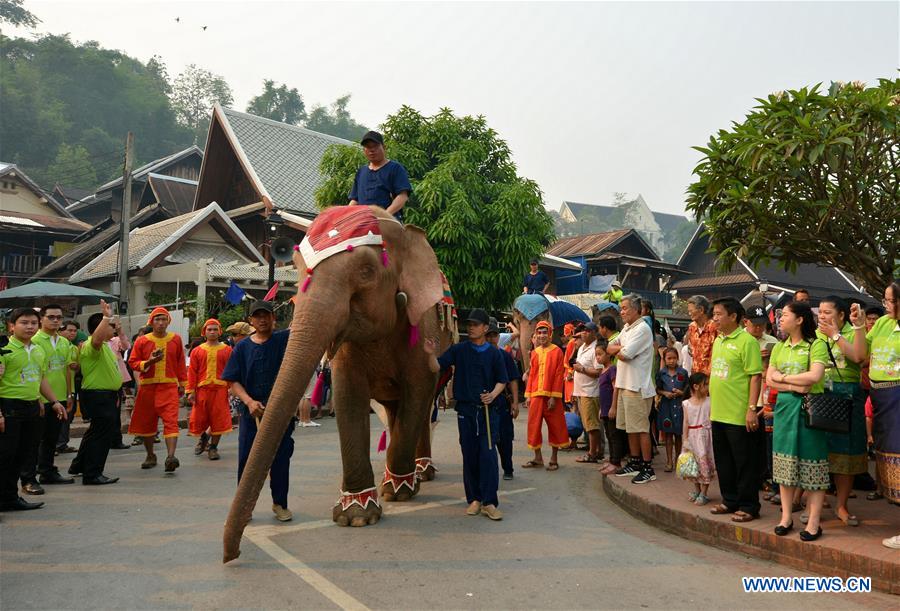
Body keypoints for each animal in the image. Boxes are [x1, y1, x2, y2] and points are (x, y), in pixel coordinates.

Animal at [221, 206, 454, 564]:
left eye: (366, 271)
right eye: (296, 268)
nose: (230, 556)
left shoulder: (420, 326)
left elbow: (419, 385)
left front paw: (396, 492)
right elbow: (348, 393)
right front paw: (356, 515)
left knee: (422, 402)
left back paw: (419, 472)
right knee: (393, 409)